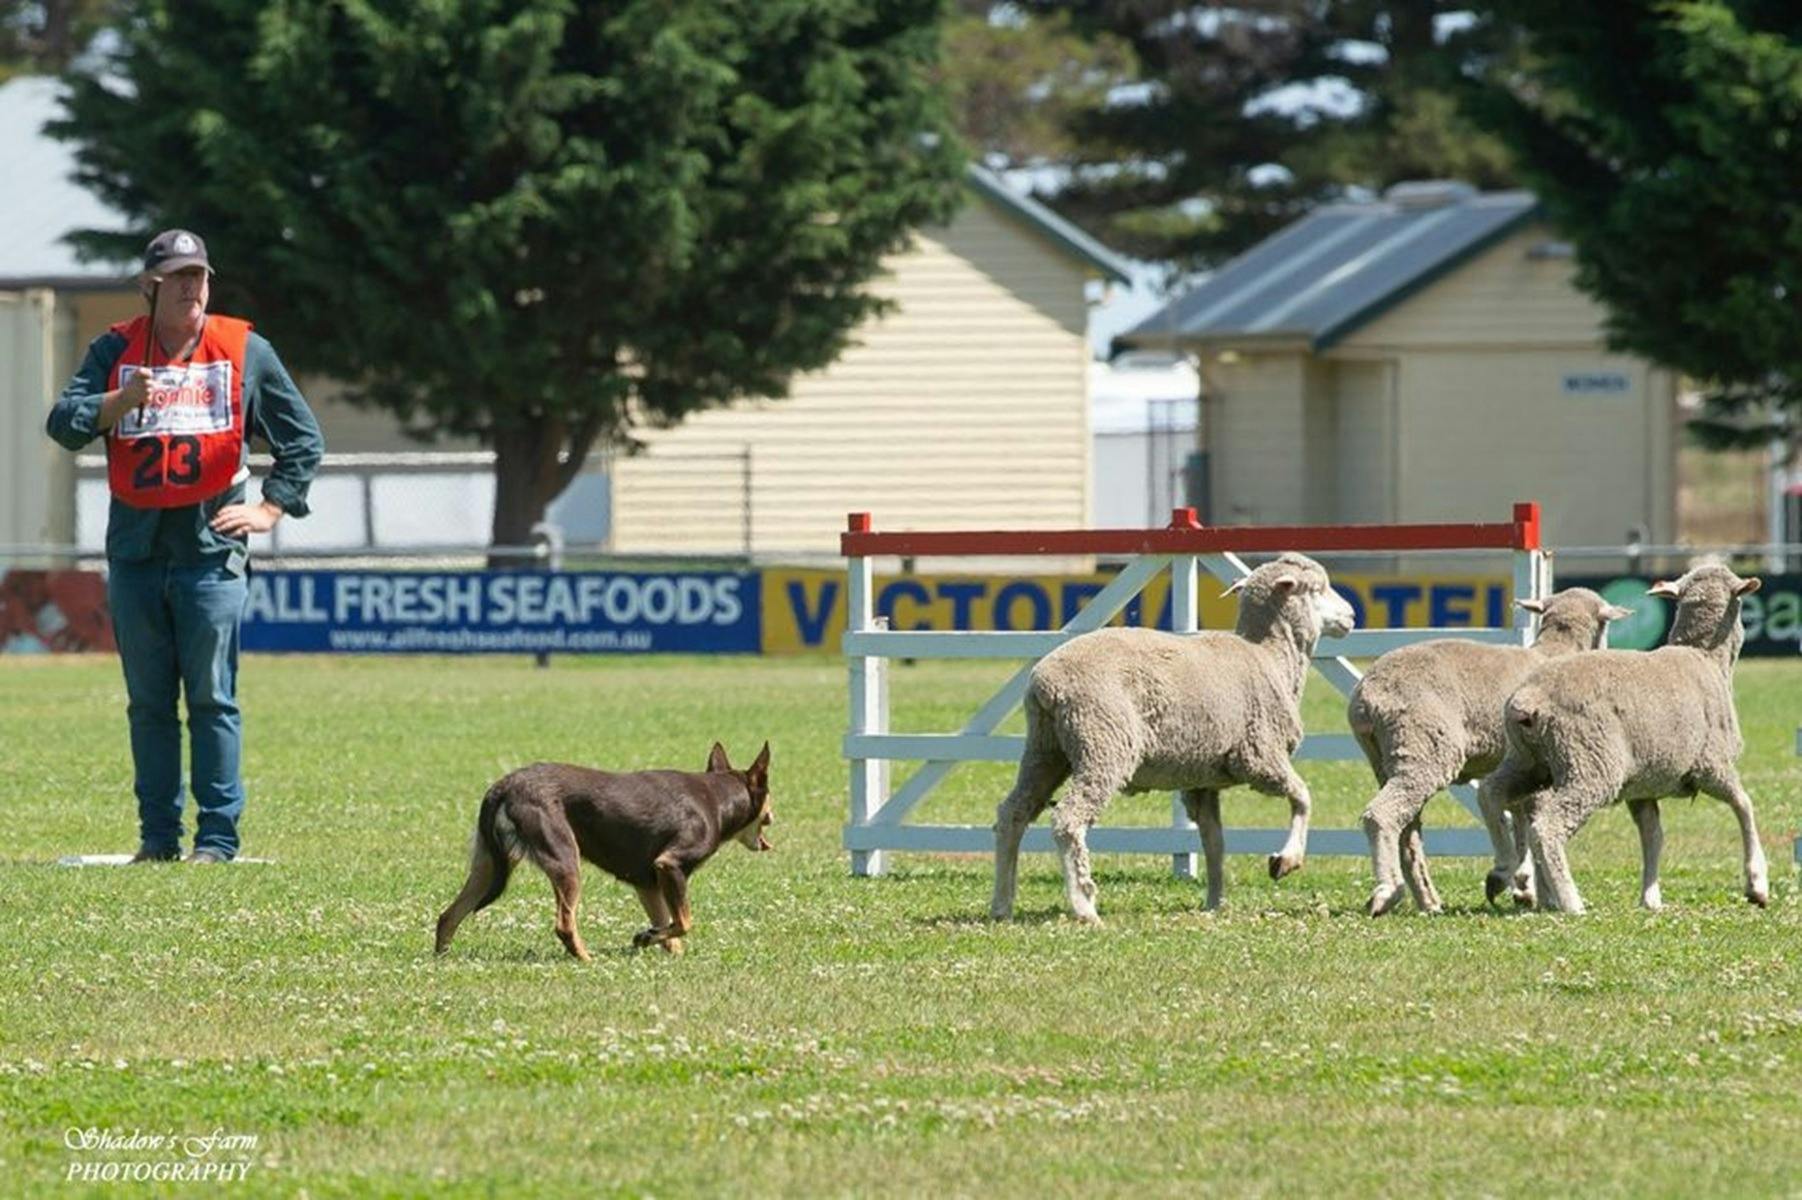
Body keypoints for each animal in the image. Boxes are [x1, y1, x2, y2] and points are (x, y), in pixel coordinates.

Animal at [441, 738, 774, 951]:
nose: (774, 814)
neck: (718, 799)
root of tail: (503, 787)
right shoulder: (670, 865)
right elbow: (684, 922)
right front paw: (644, 938)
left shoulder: (648, 884)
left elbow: (670, 932)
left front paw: (657, 943)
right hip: (566, 862)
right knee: (564, 925)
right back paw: (587, 961)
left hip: (487, 866)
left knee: (447, 916)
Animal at [987, 547, 1355, 918]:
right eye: (1318, 588)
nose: (1352, 615)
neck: (1270, 656)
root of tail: (1045, 683)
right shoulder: (1258, 756)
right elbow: (1303, 796)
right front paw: (1286, 860)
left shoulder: (1202, 781)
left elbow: (1215, 843)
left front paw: (1214, 904)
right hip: (1103, 744)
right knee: (1067, 818)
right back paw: (1084, 905)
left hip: (1046, 749)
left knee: (1013, 813)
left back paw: (1002, 903)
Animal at [1355, 583, 1636, 911]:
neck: (1556, 650)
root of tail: (1366, 697)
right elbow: (1531, 822)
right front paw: (1541, 892)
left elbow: (1520, 821)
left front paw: (1525, 886)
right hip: (1424, 747)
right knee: (1382, 814)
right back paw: (1387, 893)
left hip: (1387, 758)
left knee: (1408, 832)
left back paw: (1428, 901)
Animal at [1477, 565, 1773, 911]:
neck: (1704, 655)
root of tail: (1530, 699)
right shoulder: (1711, 764)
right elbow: (1744, 805)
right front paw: (1756, 884)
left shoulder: (1644, 785)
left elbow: (1653, 836)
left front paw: (1650, 897)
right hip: (1589, 764)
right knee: (1548, 824)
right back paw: (1570, 901)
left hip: (1529, 760)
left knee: (1491, 793)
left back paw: (1502, 871)